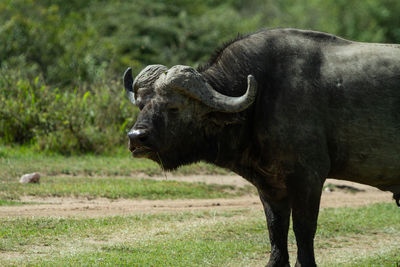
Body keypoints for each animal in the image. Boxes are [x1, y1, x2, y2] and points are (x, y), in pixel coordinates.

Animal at [123, 28, 398, 266]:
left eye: (174, 107)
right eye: (142, 105)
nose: (136, 137)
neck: (262, 97)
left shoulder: (309, 178)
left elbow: (304, 229)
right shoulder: (269, 185)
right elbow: (276, 228)